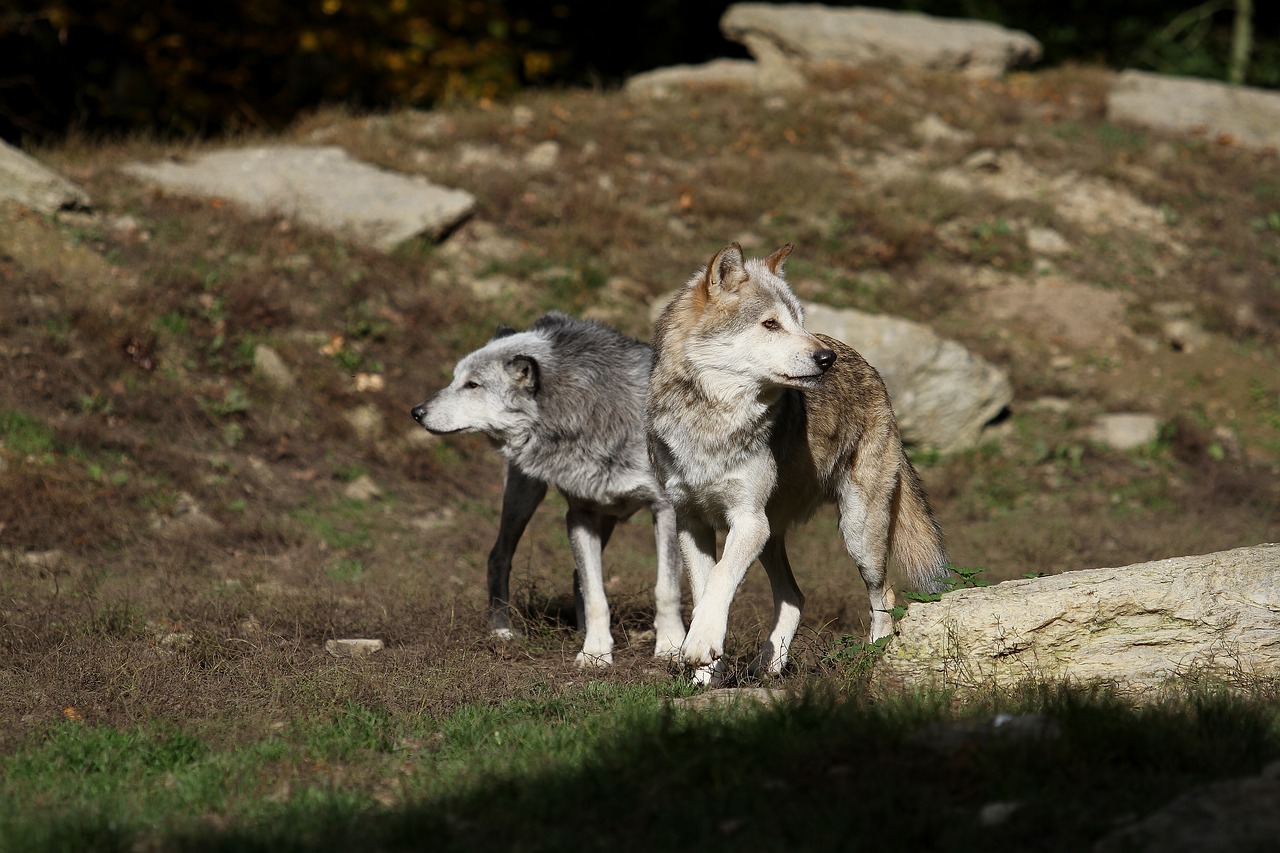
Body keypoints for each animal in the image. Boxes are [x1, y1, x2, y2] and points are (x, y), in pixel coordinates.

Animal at [414, 311, 686, 666]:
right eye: (454, 380)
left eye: (472, 385)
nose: (416, 412)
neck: (589, 413)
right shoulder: (580, 515)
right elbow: (596, 595)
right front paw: (595, 653)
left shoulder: (665, 509)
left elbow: (665, 589)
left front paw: (669, 647)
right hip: (525, 499)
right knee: (498, 557)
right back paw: (501, 630)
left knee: (574, 576)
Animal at [645, 242, 947, 681]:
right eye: (771, 324)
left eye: (798, 321)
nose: (826, 358)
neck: (712, 421)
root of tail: (868, 366)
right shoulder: (691, 521)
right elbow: (705, 591)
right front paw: (704, 673)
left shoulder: (747, 520)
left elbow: (720, 580)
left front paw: (701, 648)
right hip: (772, 536)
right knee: (795, 596)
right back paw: (769, 664)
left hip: (855, 534)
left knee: (885, 594)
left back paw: (873, 656)